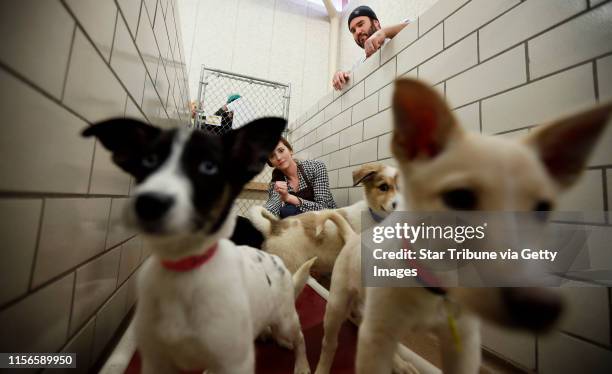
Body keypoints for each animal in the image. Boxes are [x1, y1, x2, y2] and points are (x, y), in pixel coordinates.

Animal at [83, 119, 316, 374]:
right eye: (149, 160)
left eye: (208, 167)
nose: (149, 203)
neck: (183, 268)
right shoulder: (157, 361)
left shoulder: (232, 362)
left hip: (286, 320)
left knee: (299, 337)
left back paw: (301, 363)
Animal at [316, 79, 612, 374]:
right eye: (459, 197)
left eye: (543, 208)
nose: (539, 307)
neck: (435, 287)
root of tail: (354, 238)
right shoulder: (377, 335)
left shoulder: (464, 343)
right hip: (338, 304)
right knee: (330, 341)